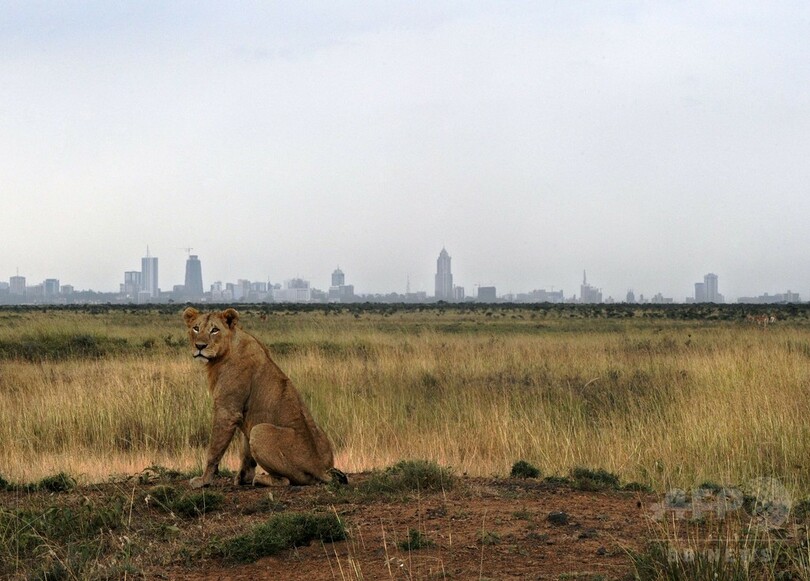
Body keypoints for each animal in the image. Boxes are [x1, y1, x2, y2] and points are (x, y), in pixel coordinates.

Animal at [182, 307, 344, 489]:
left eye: (214, 330)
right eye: (196, 328)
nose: (200, 346)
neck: (223, 354)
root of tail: (320, 469)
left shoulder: (227, 412)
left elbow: (214, 451)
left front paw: (203, 480)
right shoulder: (244, 419)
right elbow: (246, 453)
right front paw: (242, 478)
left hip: (260, 431)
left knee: (287, 480)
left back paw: (261, 479)